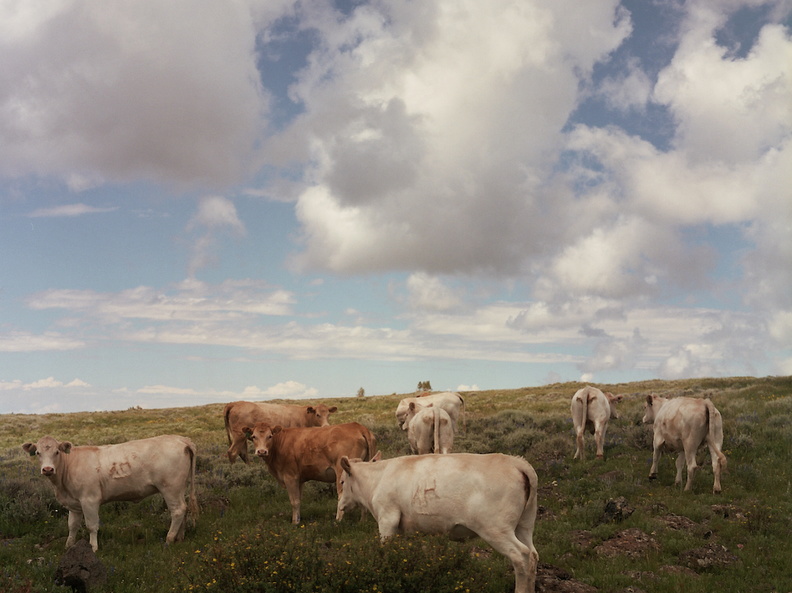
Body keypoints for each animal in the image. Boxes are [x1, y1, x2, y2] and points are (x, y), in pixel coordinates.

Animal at [21, 430, 198, 552]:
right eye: (38, 453)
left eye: (56, 452)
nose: (48, 469)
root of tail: (181, 439)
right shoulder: (74, 504)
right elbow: (72, 526)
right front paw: (69, 546)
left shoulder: (89, 499)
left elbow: (92, 525)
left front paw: (93, 547)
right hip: (179, 487)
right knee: (184, 508)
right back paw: (180, 537)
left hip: (170, 487)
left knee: (177, 510)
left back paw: (169, 539)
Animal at [244, 420, 378, 524]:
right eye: (254, 436)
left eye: (270, 436)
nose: (261, 451)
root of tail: (359, 427)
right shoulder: (299, 479)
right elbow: (299, 499)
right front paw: (298, 520)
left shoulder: (290, 476)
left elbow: (294, 501)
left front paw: (294, 523)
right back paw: (362, 521)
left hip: (342, 470)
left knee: (341, 495)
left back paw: (338, 521)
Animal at [334, 450, 540, 588]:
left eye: (342, 481)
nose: (340, 509)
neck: (378, 478)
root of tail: (516, 463)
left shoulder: (387, 518)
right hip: (524, 525)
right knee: (533, 555)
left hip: (496, 529)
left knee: (521, 556)